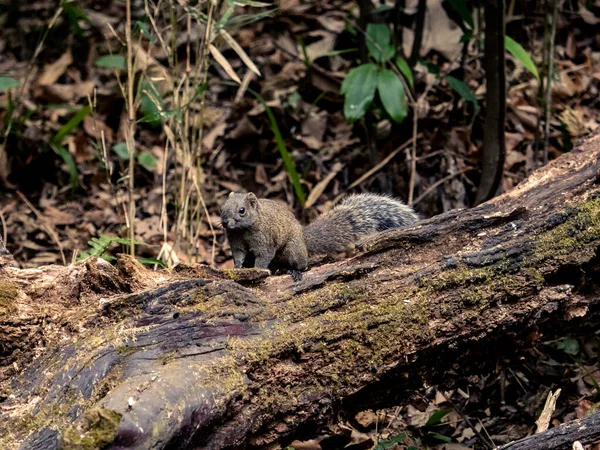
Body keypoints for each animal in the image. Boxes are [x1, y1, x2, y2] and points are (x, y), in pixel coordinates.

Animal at [219, 192, 418, 280]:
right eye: (221, 208)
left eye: (242, 211)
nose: (225, 222)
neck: (243, 231)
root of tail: (304, 240)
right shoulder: (236, 243)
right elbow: (239, 257)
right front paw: (237, 269)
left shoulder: (265, 241)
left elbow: (262, 258)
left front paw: (259, 271)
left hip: (293, 249)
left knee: (303, 264)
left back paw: (293, 271)